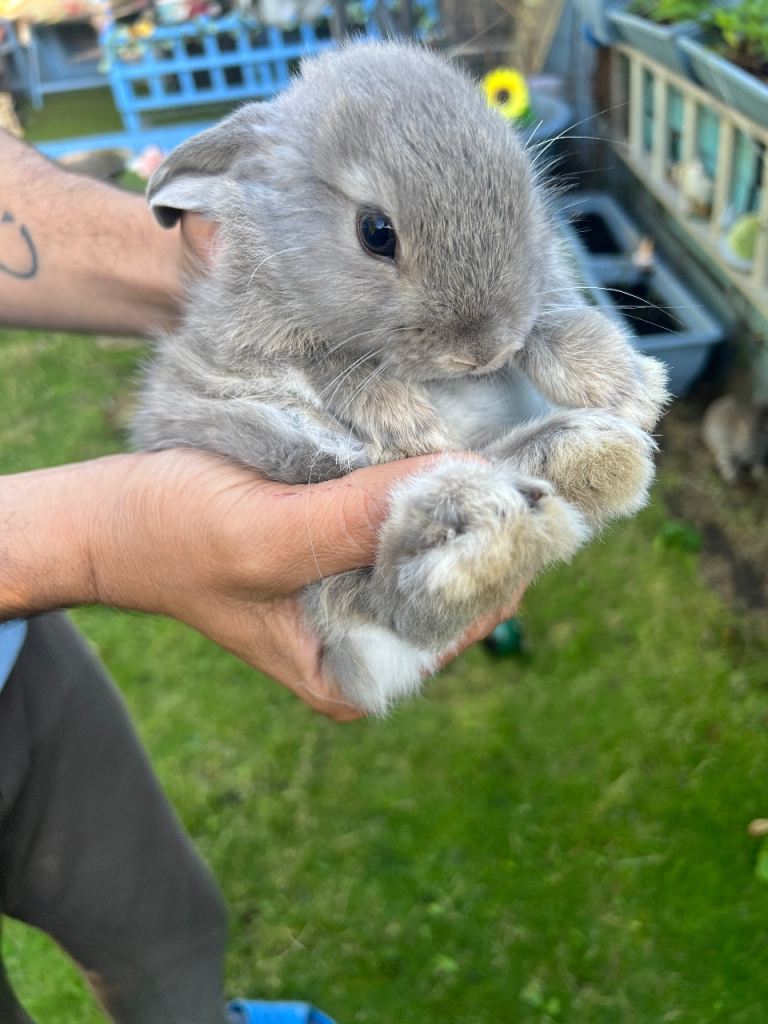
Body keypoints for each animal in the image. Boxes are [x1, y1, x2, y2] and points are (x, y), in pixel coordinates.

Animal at [135, 41, 669, 715]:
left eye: (522, 191)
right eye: (376, 232)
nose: (481, 351)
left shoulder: (541, 286)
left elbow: (550, 315)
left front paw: (627, 386)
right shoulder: (253, 337)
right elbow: (336, 366)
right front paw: (413, 427)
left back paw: (587, 462)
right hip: (271, 442)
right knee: (388, 596)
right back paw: (482, 526)